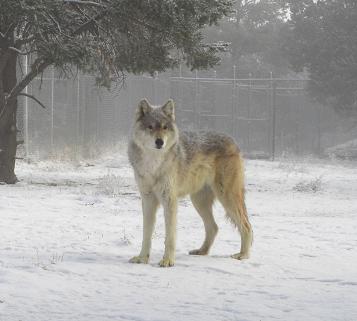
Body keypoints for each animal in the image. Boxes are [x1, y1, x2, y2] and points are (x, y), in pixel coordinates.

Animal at [126, 99, 252, 266]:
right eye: (150, 127)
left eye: (165, 127)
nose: (159, 142)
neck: (153, 163)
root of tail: (232, 140)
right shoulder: (147, 200)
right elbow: (146, 234)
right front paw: (142, 258)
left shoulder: (170, 200)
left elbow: (170, 236)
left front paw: (167, 261)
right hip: (199, 201)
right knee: (214, 227)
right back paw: (202, 251)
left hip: (227, 197)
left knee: (247, 226)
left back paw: (243, 255)